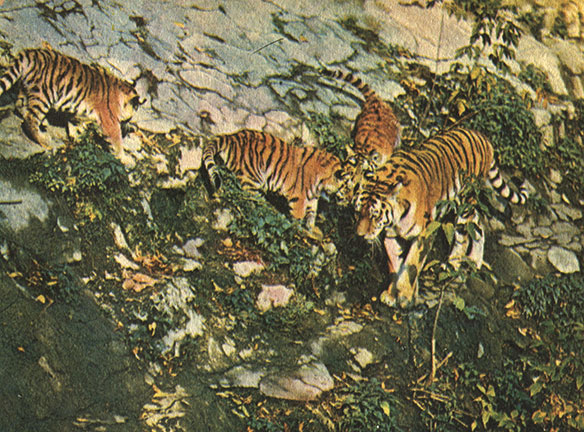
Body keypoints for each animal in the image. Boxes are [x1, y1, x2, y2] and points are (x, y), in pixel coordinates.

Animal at [0, 48, 141, 156]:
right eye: (129, 118)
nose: (128, 124)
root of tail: (31, 53)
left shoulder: (77, 112)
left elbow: (75, 125)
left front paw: (76, 137)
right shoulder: (109, 121)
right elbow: (116, 141)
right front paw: (123, 159)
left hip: (26, 88)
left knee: (20, 106)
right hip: (44, 94)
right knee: (30, 119)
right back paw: (44, 141)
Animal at [202, 129, 356, 237]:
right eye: (347, 188)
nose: (350, 201)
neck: (321, 184)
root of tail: (232, 136)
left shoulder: (312, 199)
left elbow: (311, 215)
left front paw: (311, 230)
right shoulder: (299, 198)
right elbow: (299, 217)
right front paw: (298, 231)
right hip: (252, 178)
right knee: (249, 200)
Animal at [354, 128, 528, 308]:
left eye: (374, 215)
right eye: (357, 212)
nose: (359, 235)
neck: (394, 218)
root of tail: (482, 136)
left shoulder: (425, 233)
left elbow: (411, 265)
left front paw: (405, 297)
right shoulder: (391, 236)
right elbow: (395, 265)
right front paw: (392, 295)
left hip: (465, 201)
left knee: (466, 232)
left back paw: (453, 264)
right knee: (477, 223)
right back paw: (474, 261)